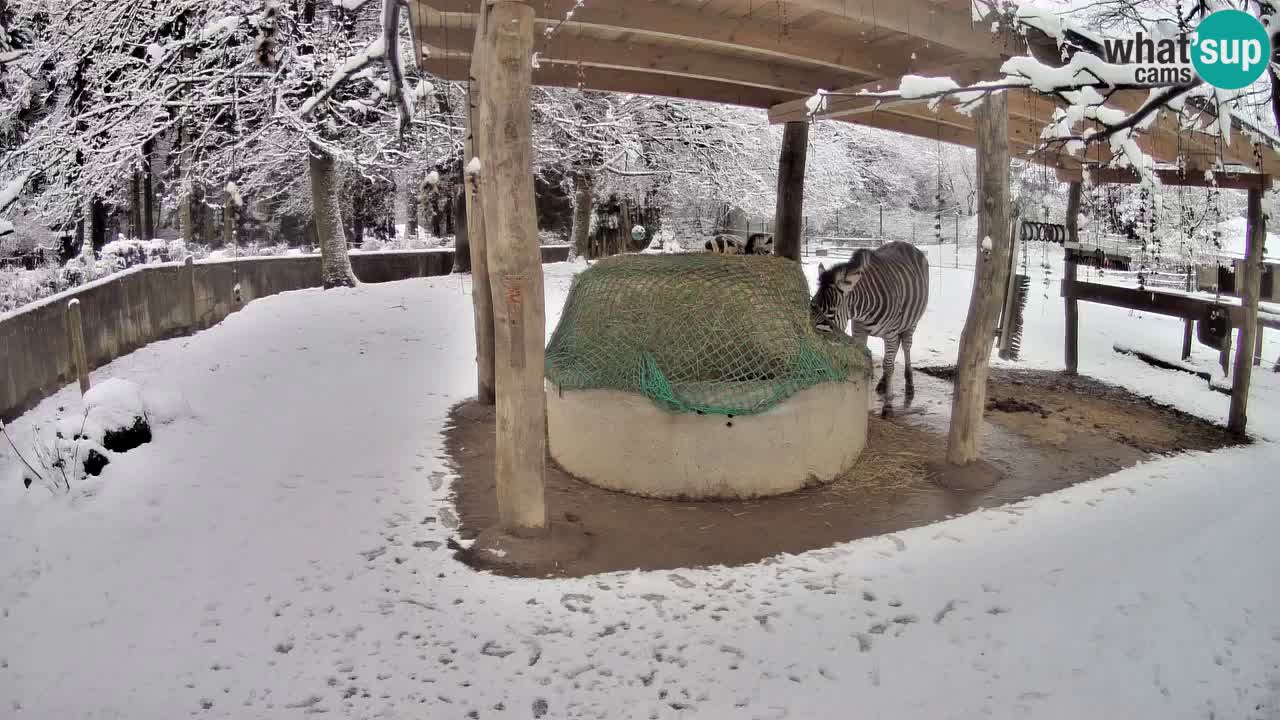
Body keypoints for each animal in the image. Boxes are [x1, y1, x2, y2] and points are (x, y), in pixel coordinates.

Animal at [808, 240, 931, 397]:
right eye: (813, 304)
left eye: (831, 311)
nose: (809, 340)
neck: (863, 310)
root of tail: (905, 243)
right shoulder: (859, 332)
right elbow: (867, 359)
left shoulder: (890, 333)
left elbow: (889, 366)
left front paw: (888, 398)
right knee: (896, 347)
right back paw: (883, 383)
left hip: (911, 323)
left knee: (906, 346)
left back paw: (909, 384)